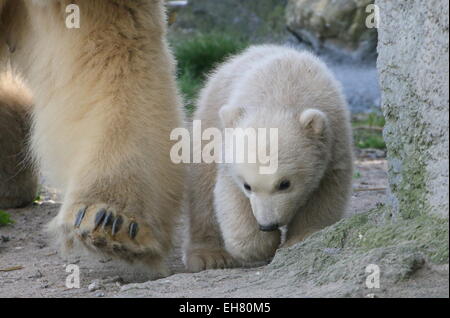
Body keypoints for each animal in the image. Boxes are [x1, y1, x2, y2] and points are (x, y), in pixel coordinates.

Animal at [185, 46, 354, 272]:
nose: (267, 225)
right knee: (202, 189)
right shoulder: (231, 150)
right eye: (247, 186)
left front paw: (301, 238)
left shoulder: (334, 138)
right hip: (210, 119)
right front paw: (262, 245)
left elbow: (326, 192)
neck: (282, 95)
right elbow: (231, 196)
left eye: (284, 184)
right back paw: (209, 256)